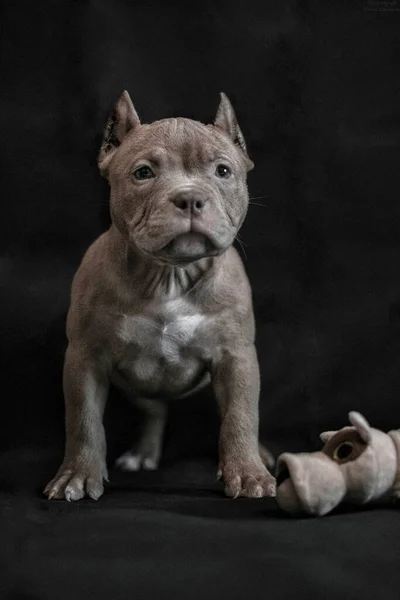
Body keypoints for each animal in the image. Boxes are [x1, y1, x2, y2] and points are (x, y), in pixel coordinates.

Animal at [43, 89, 276, 502]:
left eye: (223, 171)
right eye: (143, 174)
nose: (190, 198)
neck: (170, 275)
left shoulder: (237, 358)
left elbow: (240, 416)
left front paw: (249, 473)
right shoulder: (85, 359)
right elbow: (84, 420)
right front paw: (77, 476)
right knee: (154, 410)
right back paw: (142, 453)